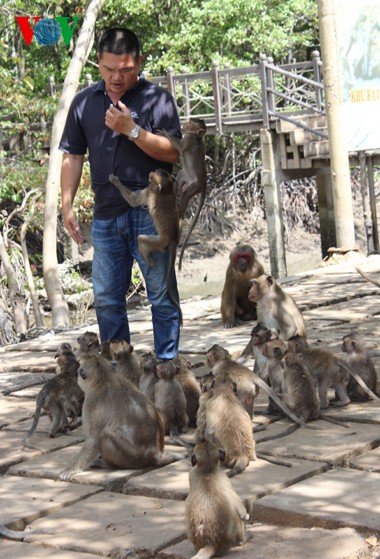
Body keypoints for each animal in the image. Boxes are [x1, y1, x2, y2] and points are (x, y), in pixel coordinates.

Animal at [58, 354, 186, 482]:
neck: (105, 378)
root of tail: (156, 454)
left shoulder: (91, 401)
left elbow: (93, 440)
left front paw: (71, 469)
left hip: (132, 457)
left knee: (105, 435)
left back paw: (107, 465)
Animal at [157, 118, 206, 272]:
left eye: (191, 124)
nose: (184, 124)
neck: (197, 137)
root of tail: (204, 182)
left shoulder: (188, 141)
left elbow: (179, 147)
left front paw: (164, 133)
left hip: (193, 186)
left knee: (185, 197)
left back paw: (179, 212)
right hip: (184, 175)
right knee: (179, 180)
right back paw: (175, 189)